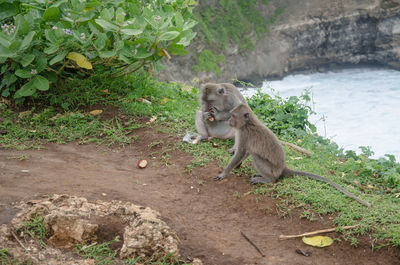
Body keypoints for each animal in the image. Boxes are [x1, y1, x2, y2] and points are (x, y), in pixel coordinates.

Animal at [216, 103, 372, 206]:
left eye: (233, 115)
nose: (229, 121)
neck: (247, 123)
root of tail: (282, 168)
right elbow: (245, 152)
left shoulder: (244, 133)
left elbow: (242, 152)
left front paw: (224, 172)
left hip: (272, 170)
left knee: (258, 158)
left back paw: (268, 179)